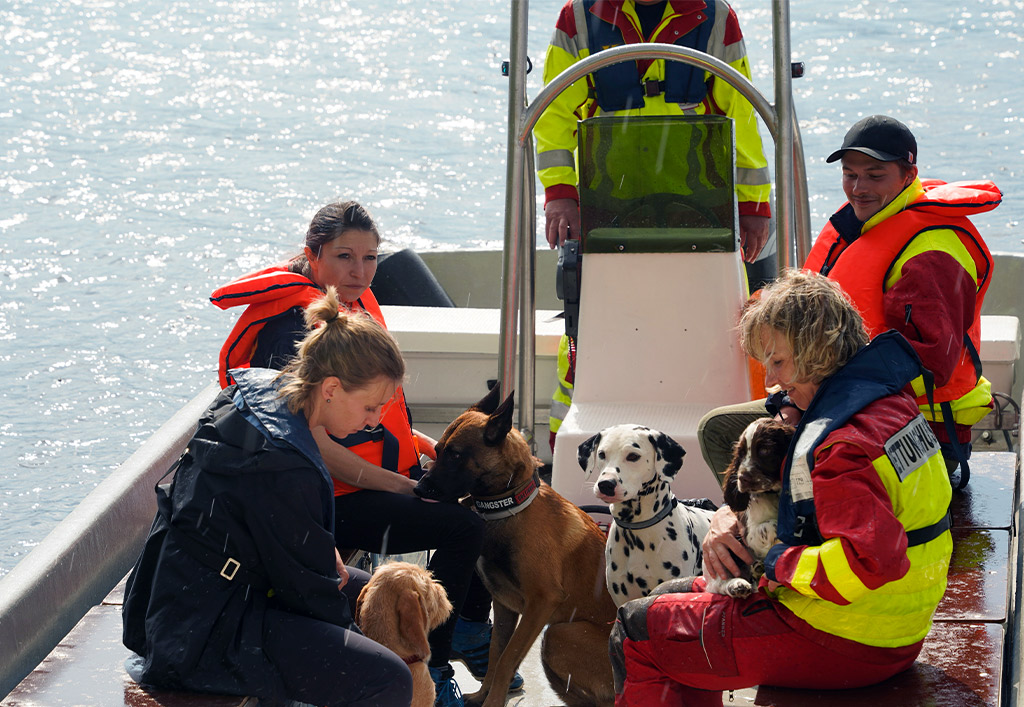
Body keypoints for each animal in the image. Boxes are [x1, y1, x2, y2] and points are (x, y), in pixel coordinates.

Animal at [411, 385, 610, 704]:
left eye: (455, 455)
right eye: (438, 451)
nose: (418, 488)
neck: (509, 507)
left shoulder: (541, 603)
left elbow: (507, 659)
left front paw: (492, 702)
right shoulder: (504, 606)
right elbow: (495, 654)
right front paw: (483, 695)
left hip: (559, 634)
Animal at [708, 416, 794, 598]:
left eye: (765, 450)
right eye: (740, 454)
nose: (742, 478)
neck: (773, 493)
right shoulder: (749, 533)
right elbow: (770, 525)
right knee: (718, 584)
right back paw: (737, 585)